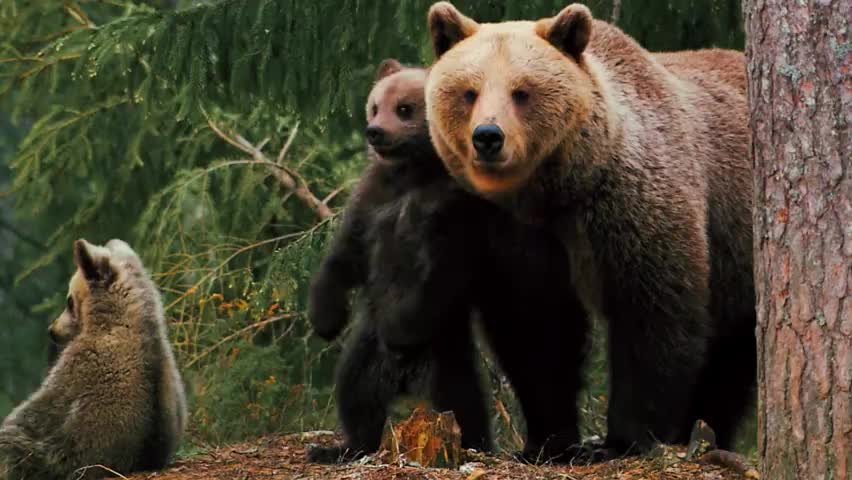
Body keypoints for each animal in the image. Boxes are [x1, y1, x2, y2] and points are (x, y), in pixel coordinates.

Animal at [307, 59, 591, 464]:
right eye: (375, 106)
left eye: (404, 108)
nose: (375, 132)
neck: (413, 172)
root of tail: (404, 379)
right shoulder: (373, 203)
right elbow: (344, 258)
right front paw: (326, 319)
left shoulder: (455, 216)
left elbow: (440, 277)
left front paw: (400, 328)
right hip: (366, 354)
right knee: (354, 391)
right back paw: (341, 446)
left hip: (445, 358)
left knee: (463, 401)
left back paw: (475, 444)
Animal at [423, 1, 754, 459]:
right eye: (468, 92)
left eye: (522, 92)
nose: (488, 137)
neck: (557, 193)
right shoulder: (510, 231)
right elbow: (535, 326)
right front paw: (548, 440)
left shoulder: (631, 205)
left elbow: (652, 315)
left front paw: (622, 440)